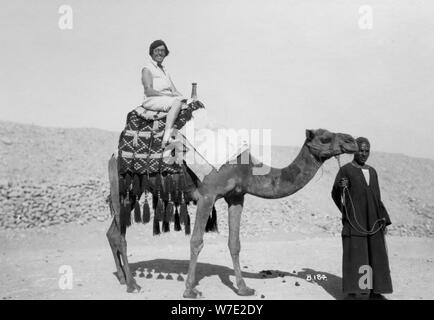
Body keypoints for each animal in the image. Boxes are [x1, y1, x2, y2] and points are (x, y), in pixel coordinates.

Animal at [107, 127, 358, 298]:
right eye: (325, 138)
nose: (353, 140)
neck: (247, 170)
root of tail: (113, 156)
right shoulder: (207, 195)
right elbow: (196, 241)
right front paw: (189, 290)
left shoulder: (236, 197)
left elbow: (234, 243)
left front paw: (244, 288)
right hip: (126, 189)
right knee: (119, 234)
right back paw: (132, 285)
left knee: (113, 233)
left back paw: (122, 278)